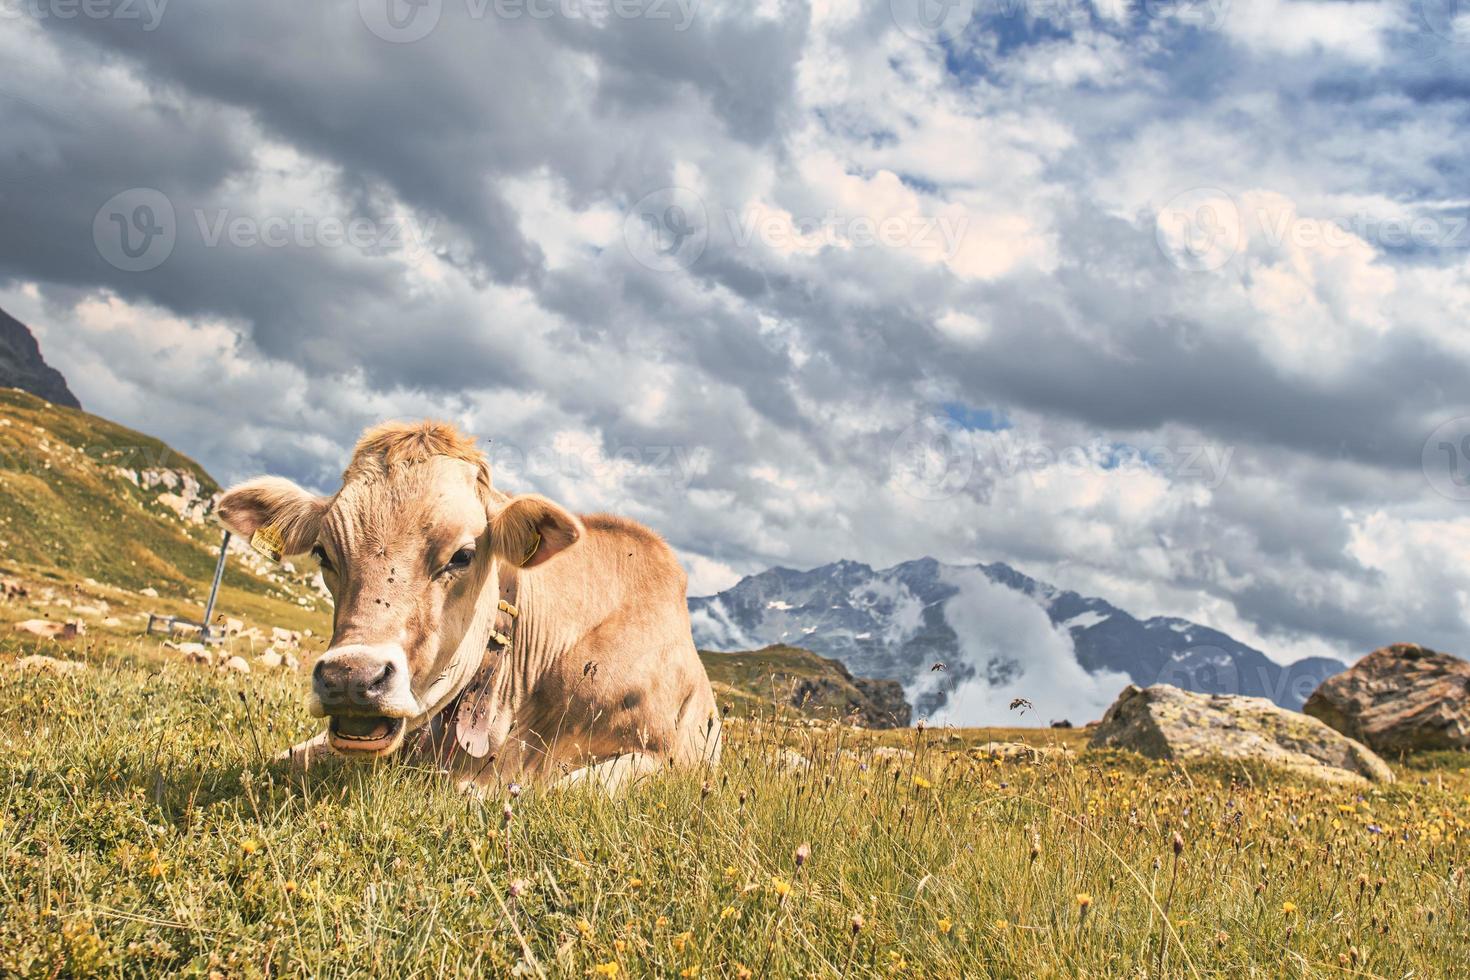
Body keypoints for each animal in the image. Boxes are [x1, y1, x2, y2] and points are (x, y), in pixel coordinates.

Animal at [214, 417, 720, 793]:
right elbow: (279, 758)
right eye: (322, 552)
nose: (351, 677)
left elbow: (554, 790)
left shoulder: (658, 756)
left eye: (462, 555)